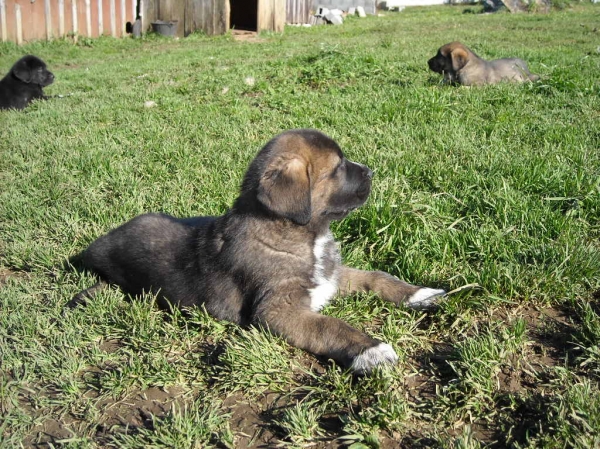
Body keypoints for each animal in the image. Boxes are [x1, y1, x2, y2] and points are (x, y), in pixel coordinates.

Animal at [70, 129, 446, 372]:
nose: (371, 171)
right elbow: (330, 326)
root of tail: (96, 245)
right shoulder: (278, 310)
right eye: (338, 168)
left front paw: (418, 293)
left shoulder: (331, 276)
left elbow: (376, 276)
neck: (299, 235)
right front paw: (371, 350)